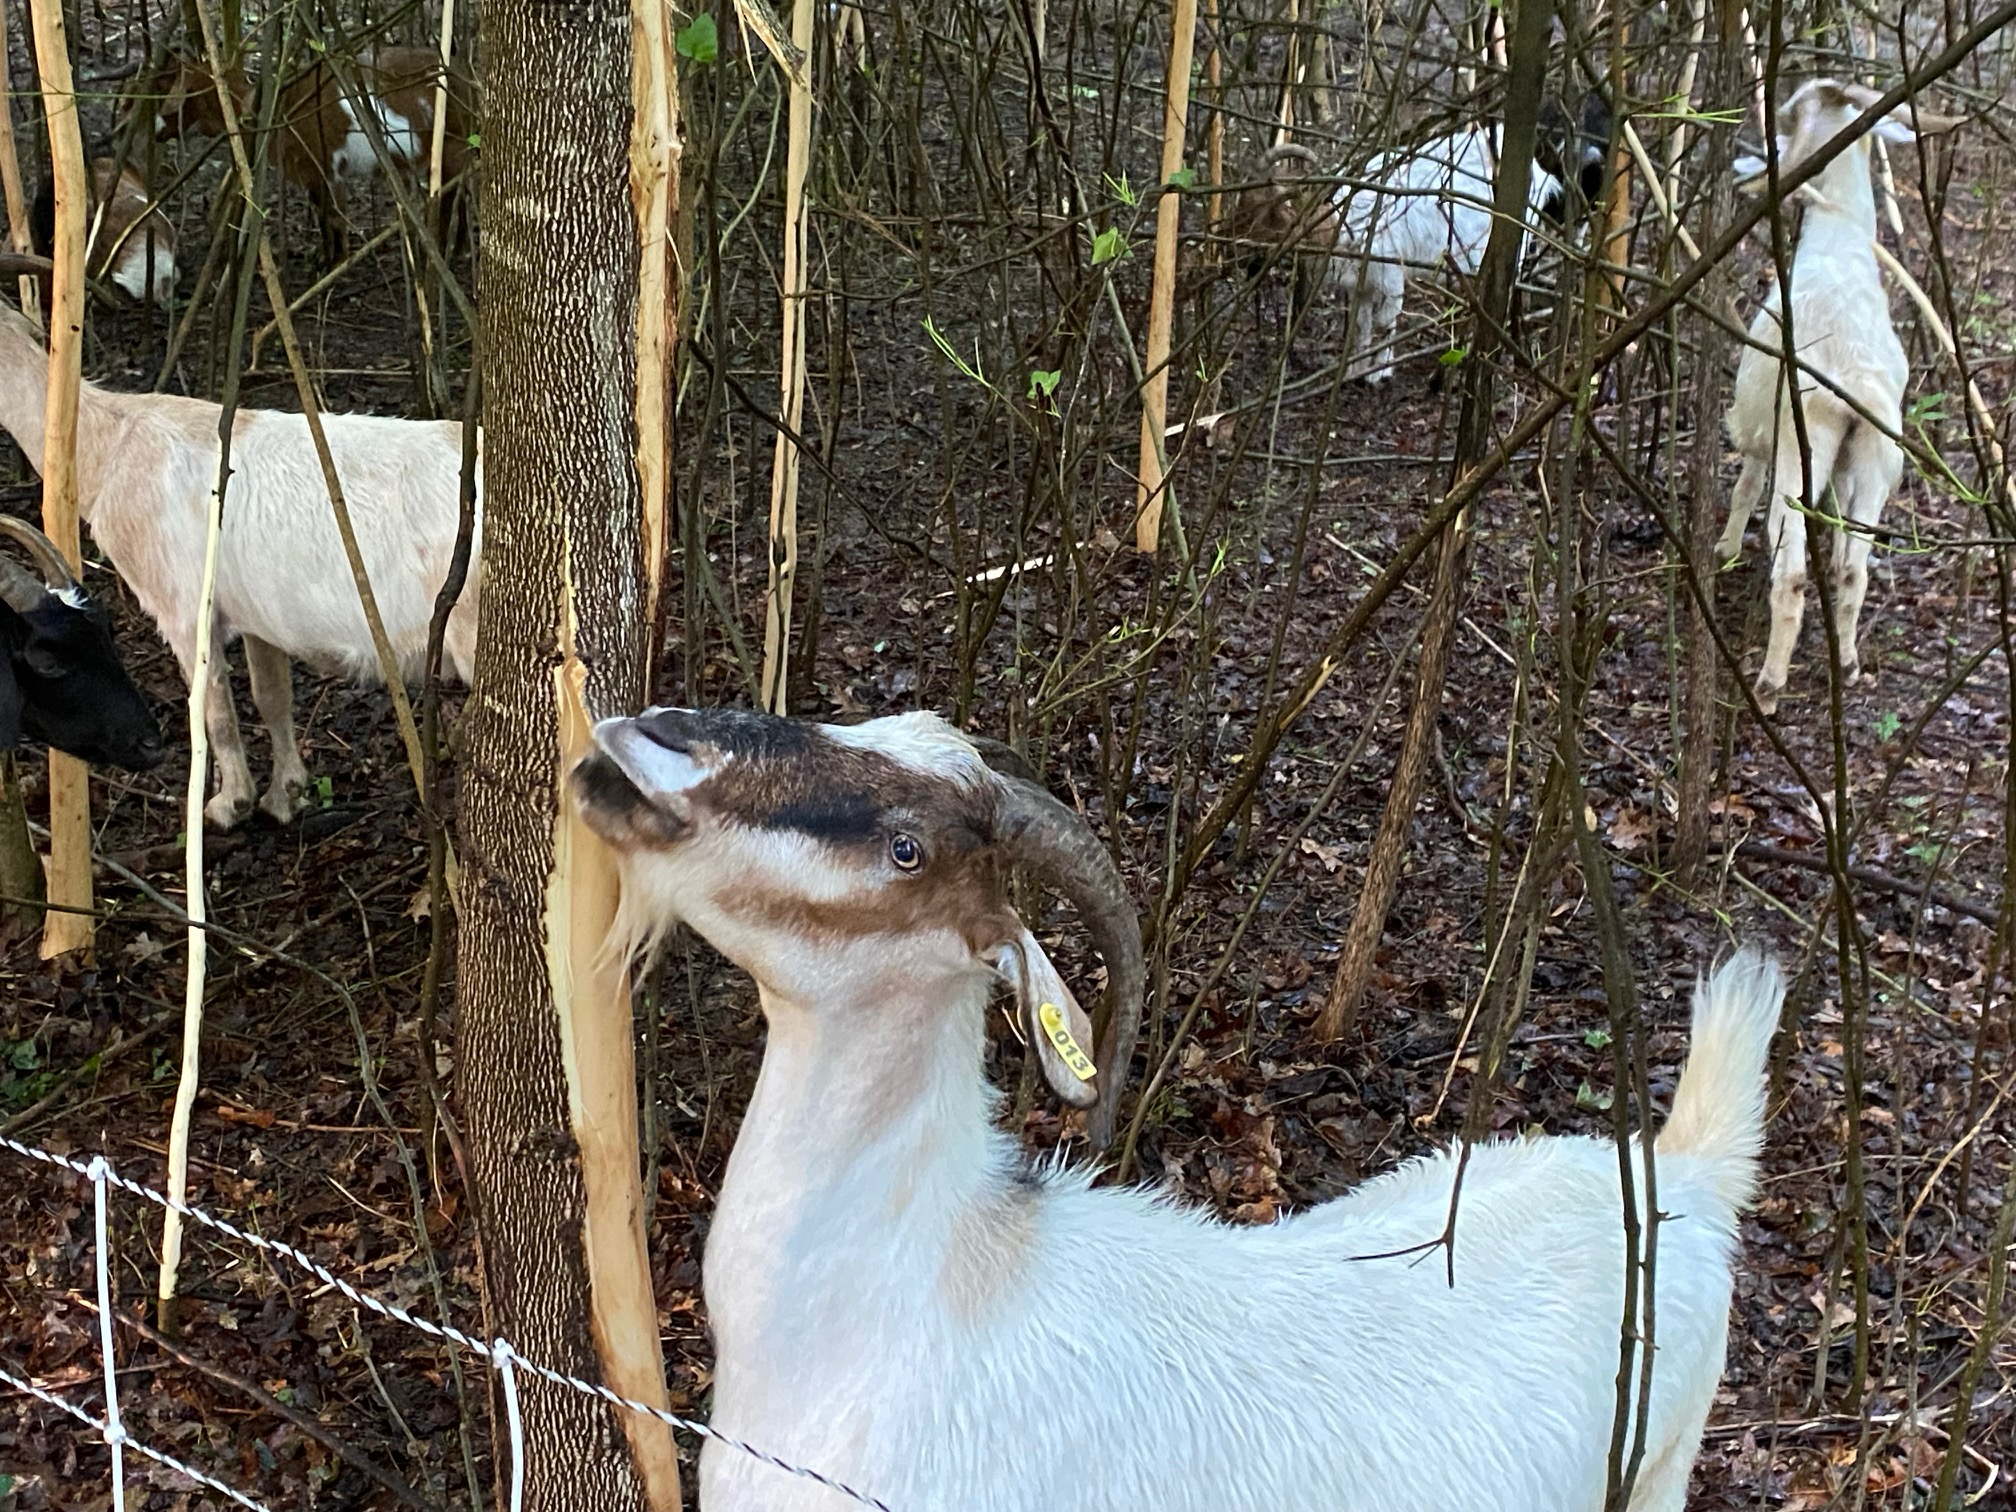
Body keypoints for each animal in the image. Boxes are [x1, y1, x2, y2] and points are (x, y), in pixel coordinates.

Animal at [153, 46, 474, 263]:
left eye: (176, 92)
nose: (155, 131)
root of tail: (465, 74)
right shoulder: (310, 171)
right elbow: (321, 215)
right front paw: (323, 258)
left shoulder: (328, 165)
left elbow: (333, 216)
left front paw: (335, 263)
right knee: (457, 194)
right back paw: (457, 249)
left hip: (454, 142)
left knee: (451, 195)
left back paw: (447, 250)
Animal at [1718, 80, 1960, 715]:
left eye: (1789, 115)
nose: (1753, 158)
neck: (1839, 237)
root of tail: (1854, 383)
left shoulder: (1761, 429)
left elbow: (1743, 484)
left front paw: (1723, 549)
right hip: (1879, 456)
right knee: (1854, 569)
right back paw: (1848, 664)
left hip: (1804, 446)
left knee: (1792, 570)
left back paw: (1769, 686)